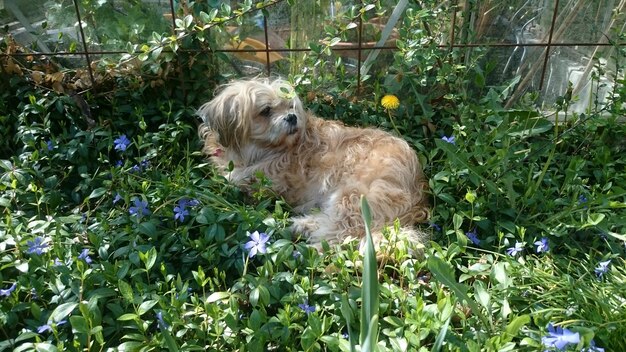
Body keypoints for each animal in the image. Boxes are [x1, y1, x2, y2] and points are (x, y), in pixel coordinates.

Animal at [196, 78, 428, 252]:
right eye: (266, 110)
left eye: (290, 106)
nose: (292, 117)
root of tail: (417, 185)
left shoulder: (265, 181)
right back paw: (303, 225)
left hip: (354, 194)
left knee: (342, 234)